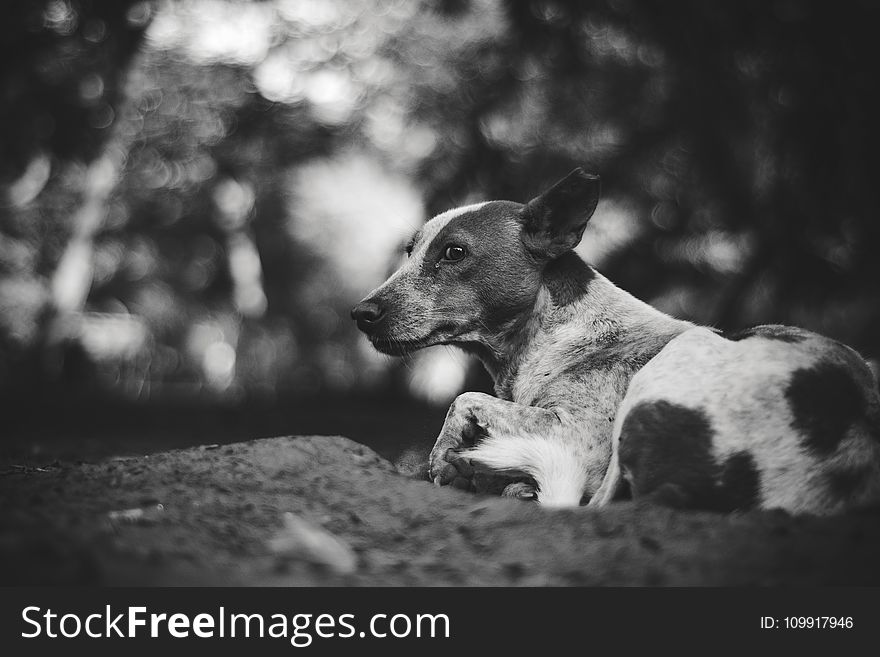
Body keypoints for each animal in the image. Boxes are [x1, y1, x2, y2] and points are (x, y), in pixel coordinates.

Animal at [350, 168, 880, 512]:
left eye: (454, 253)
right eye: (410, 251)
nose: (361, 314)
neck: (556, 332)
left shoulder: (575, 434)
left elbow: (463, 400)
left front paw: (445, 458)